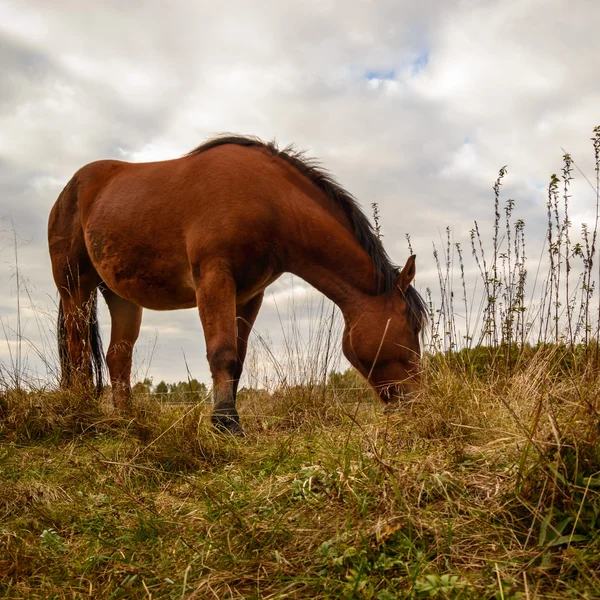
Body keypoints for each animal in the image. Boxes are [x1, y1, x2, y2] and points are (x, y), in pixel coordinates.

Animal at [49, 135, 428, 436]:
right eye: (413, 326)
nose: (417, 401)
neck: (269, 199)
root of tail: (70, 188)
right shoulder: (214, 277)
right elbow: (222, 352)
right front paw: (226, 424)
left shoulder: (249, 295)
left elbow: (238, 359)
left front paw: (226, 418)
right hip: (75, 286)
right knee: (78, 349)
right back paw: (82, 410)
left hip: (121, 296)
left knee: (118, 357)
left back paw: (127, 422)